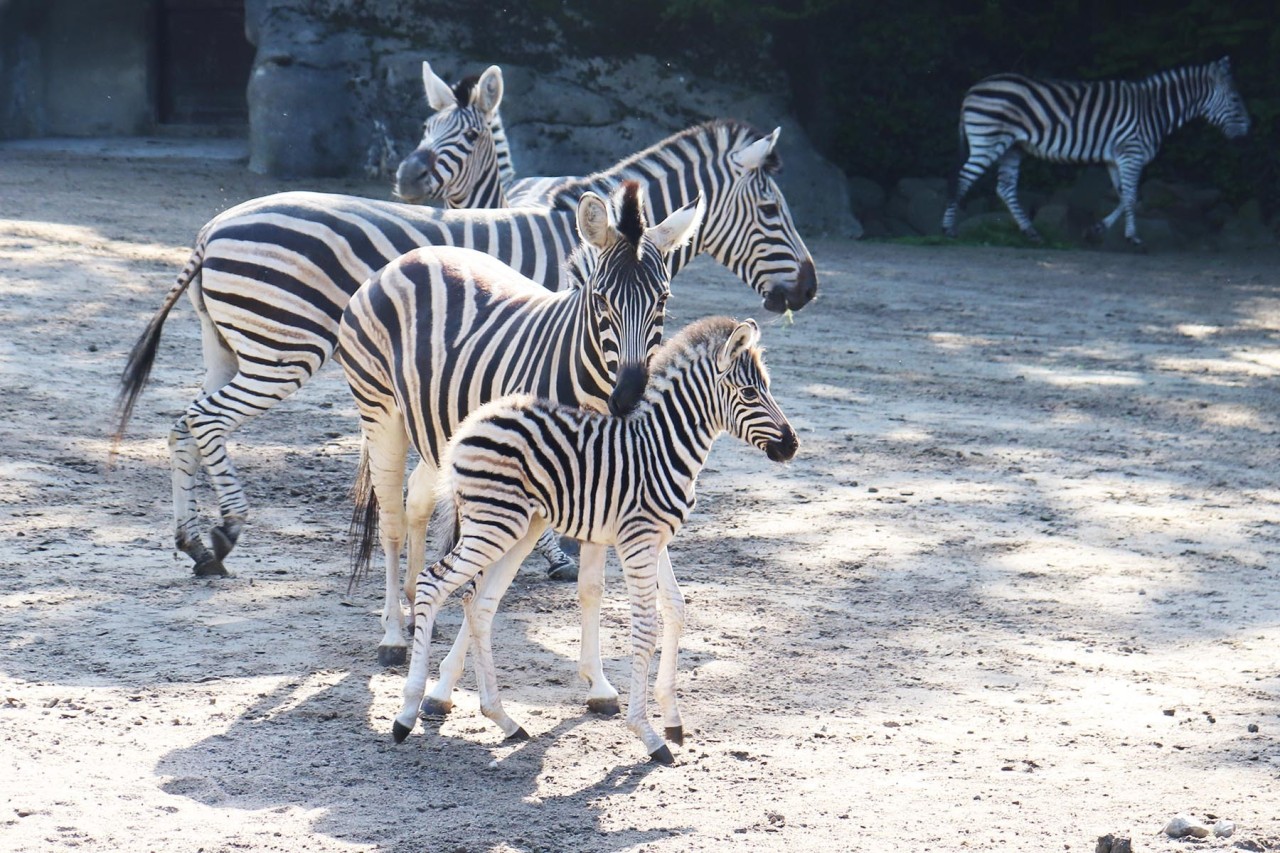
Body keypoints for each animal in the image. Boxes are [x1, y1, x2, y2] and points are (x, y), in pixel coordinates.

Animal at [117, 116, 819, 573]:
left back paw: (196, 542)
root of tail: (212, 228)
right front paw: (552, 552)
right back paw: (228, 530)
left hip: (228, 346)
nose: (809, 288)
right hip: (281, 350)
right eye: (773, 211)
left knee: (183, 421)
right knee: (206, 421)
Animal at [340, 183, 706, 666]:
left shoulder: (612, 483)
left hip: (440, 427)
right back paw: (394, 635)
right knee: (392, 521)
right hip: (381, 412)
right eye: (601, 300)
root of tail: (411, 257)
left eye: (662, 301)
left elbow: (606, 588)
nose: (628, 397)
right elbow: (487, 585)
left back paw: (414, 604)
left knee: (417, 499)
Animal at [389, 313, 793, 763]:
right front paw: (647, 735)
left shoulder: (657, 540)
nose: (792, 445)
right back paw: (406, 714)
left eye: (766, 388)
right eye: (749, 392)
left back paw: (504, 720)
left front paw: (673, 720)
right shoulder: (636, 542)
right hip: (493, 524)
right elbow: (645, 628)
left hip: (519, 527)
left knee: (480, 604)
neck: (663, 447)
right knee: (432, 582)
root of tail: (472, 422)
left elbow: (676, 608)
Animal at [942, 56, 1249, 244]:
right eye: (1235, 99)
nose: (1249, 130)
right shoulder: (1131, 154)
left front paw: (1097, 230)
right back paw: (949, 229)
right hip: (988, 140)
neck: (1153, 110)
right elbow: (1131, 197)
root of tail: (973, 88)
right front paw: (1133, 238)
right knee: (963, 178)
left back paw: (1031, 233)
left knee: (1004, 188)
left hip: (1012, 147)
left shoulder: (1117, 158)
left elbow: (1127, 197)